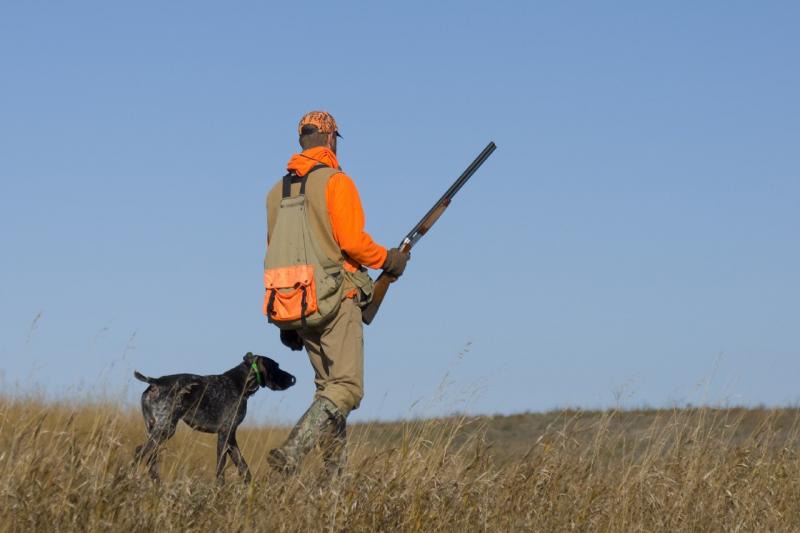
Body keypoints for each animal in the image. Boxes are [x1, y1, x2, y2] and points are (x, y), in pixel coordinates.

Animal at [134, 352, 296, 480]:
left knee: (150, 459)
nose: (293, 378)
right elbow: (220, 470)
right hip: (165, 429)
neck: (240, 383)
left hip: (156, 430)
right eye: (276, 366)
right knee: (139, 453)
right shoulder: (224, 434)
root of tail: (155, 382)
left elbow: (244, 469)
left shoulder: (231, 437)